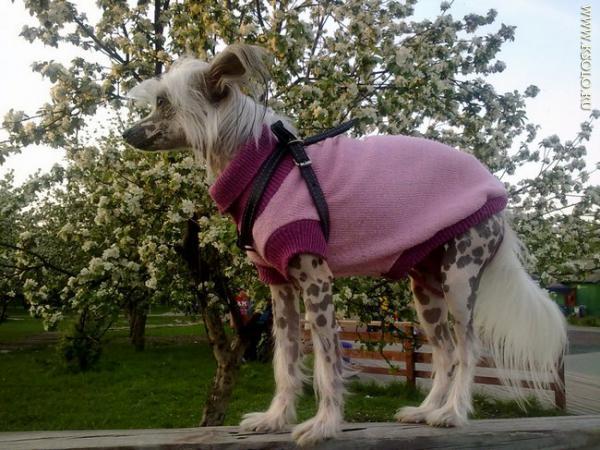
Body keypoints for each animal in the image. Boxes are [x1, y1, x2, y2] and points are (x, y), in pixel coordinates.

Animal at [123, 44, 567, 447]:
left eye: (163, 103)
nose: (127, 133)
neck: (263, 165)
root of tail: (498, 197)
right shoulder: (279, 286)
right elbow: (285, 359)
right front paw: (275, 419)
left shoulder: (316, 277)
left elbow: (326, 361)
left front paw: (323, 425)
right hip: (425, 288)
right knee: (444, 351)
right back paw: (426, 410)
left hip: (459, 279)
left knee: (468, 348)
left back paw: (453, 414)